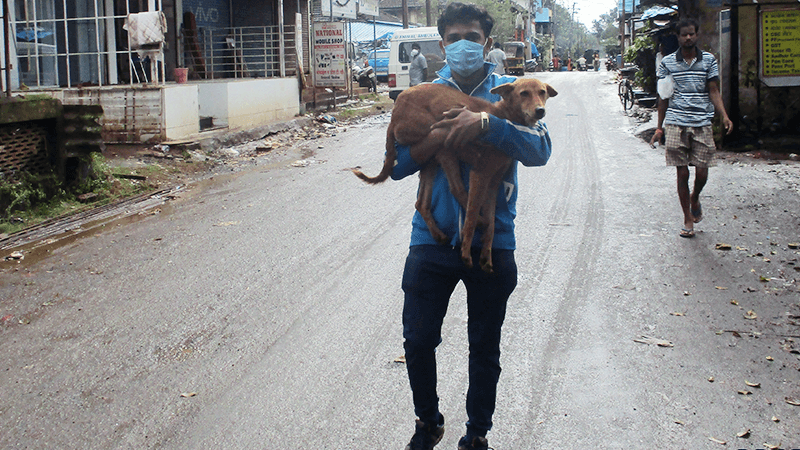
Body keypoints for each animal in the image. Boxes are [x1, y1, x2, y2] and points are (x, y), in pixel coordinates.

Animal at [354, 78, 560, 270]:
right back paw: (476, 222)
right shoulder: (480, 173)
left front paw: (486, 257)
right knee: (457, 190)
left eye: (542, 92)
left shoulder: (494, 181)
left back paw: (439, 235)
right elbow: (470, 216)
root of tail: (394, 115)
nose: (540, 111)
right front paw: (467, 253)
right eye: (523, 93)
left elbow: (492, 224)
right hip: (444, 143)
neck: (504, 116)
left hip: (431, 161)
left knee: (421, 203)